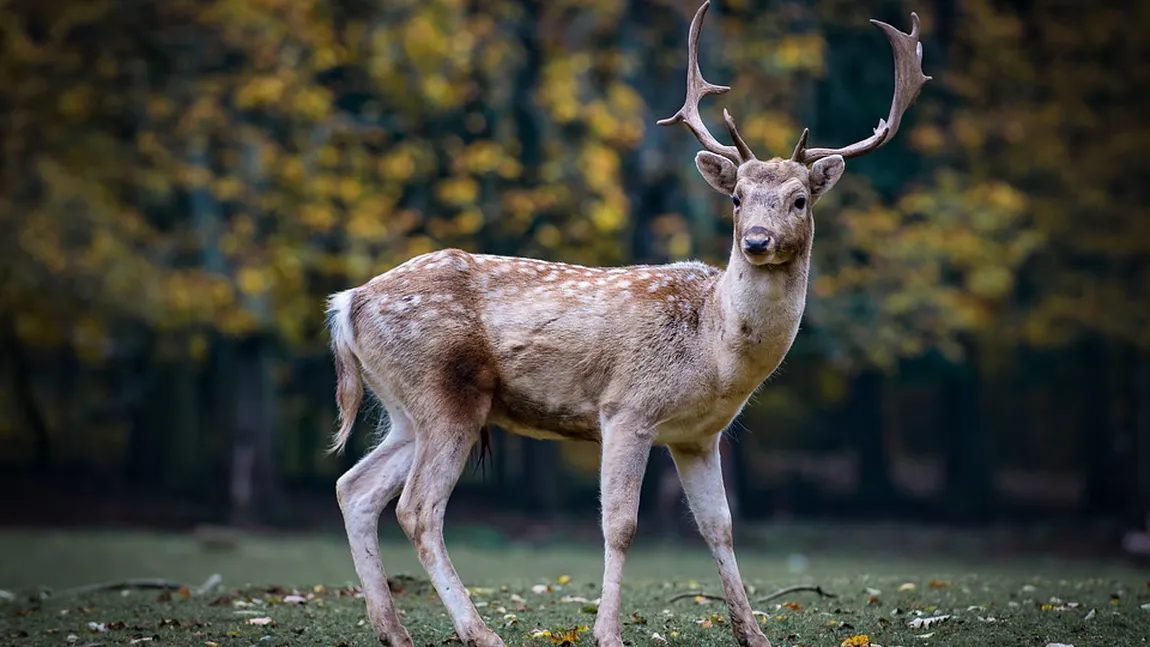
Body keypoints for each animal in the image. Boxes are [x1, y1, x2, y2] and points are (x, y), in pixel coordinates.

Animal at [328, 2, 929, 643]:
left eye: (800, 199)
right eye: (737, 198)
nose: (756, 241)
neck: (713, 350)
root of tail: (349, 302)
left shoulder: (698, 435)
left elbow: (720, 526)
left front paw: (754, 632)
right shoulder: (626, 409)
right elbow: (621, 525)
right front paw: (608, 632)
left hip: (403, 407)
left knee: (354, 488)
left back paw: (394, 630)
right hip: (445, 392)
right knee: (417, 509)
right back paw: (480, 631)